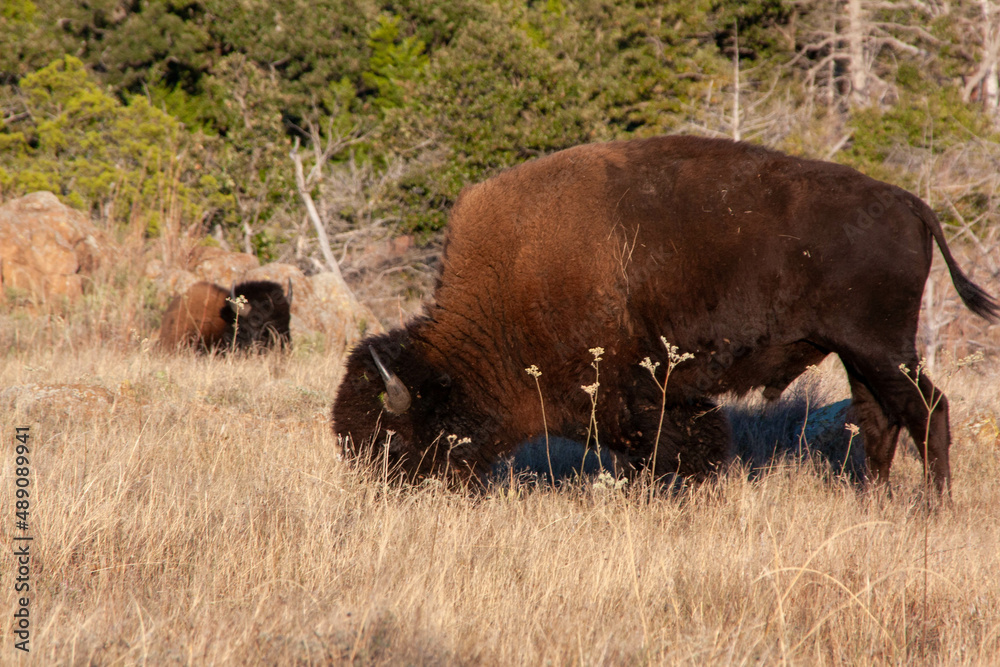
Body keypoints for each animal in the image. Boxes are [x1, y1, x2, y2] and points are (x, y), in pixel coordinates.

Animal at [332, 134, 996, 490]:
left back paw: (932, 508)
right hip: (860, 354)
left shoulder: (636, 399)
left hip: (883, 349)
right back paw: (877, 503)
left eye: (391, 440)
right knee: (880, 422)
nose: (384, 496)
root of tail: (910, 204)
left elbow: (673, 451)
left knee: (928, 412)